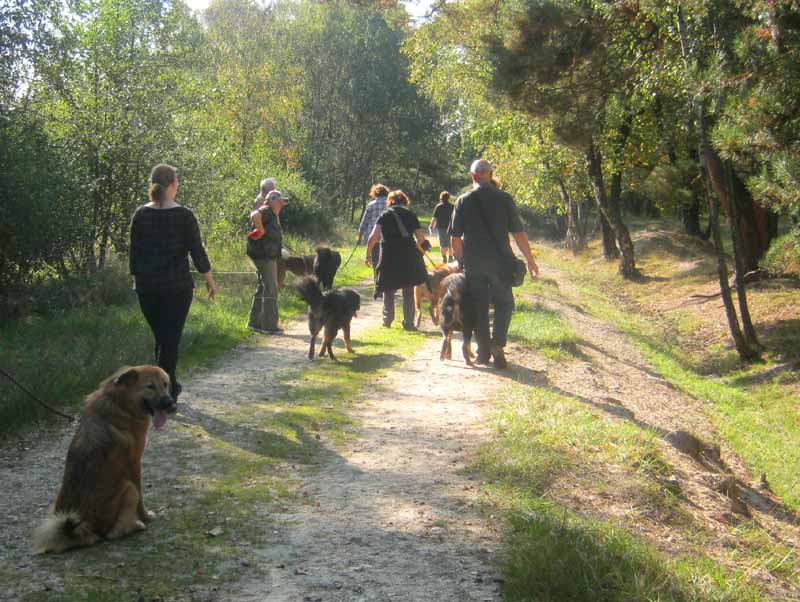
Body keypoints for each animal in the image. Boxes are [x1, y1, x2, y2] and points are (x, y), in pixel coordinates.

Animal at [33, 364, 177, 552]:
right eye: (150, 386)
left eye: (165, 384)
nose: (171, 404)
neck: (121, 403)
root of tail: (80, 530)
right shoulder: (134, 464)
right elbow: (141, 496)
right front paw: (145, 516)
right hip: (128, 488)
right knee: (113, 533)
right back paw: (137, 525)